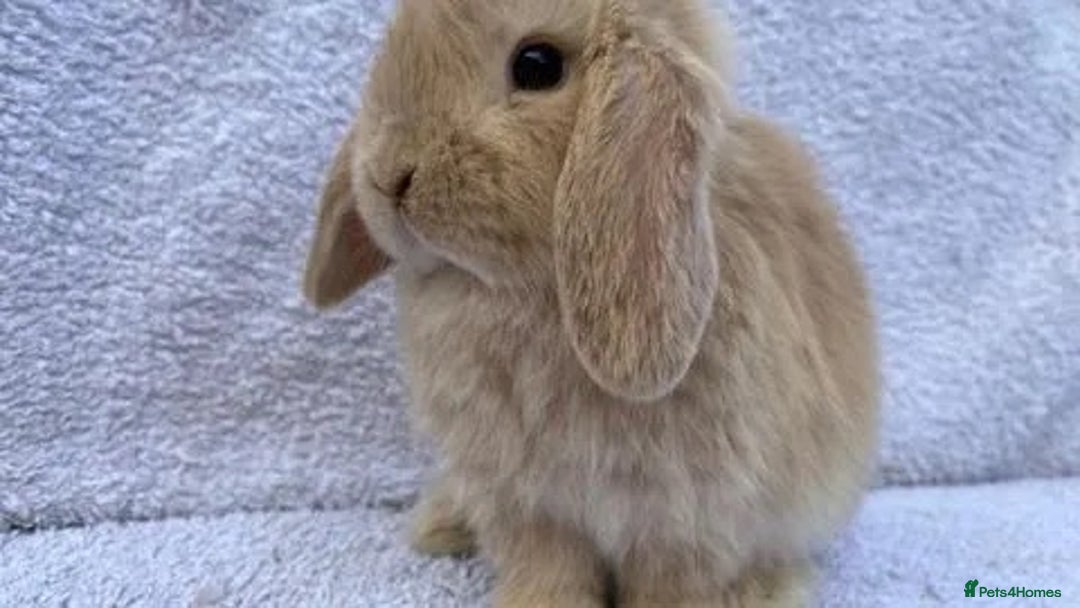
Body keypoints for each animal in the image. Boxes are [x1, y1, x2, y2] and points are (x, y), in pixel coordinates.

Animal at [302, 0, 879, 606]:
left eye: (537, 65)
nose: (388, 175)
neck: (520, 290)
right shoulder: (526, 501)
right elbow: (548, 567)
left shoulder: (685, 515)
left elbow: (671, 580)